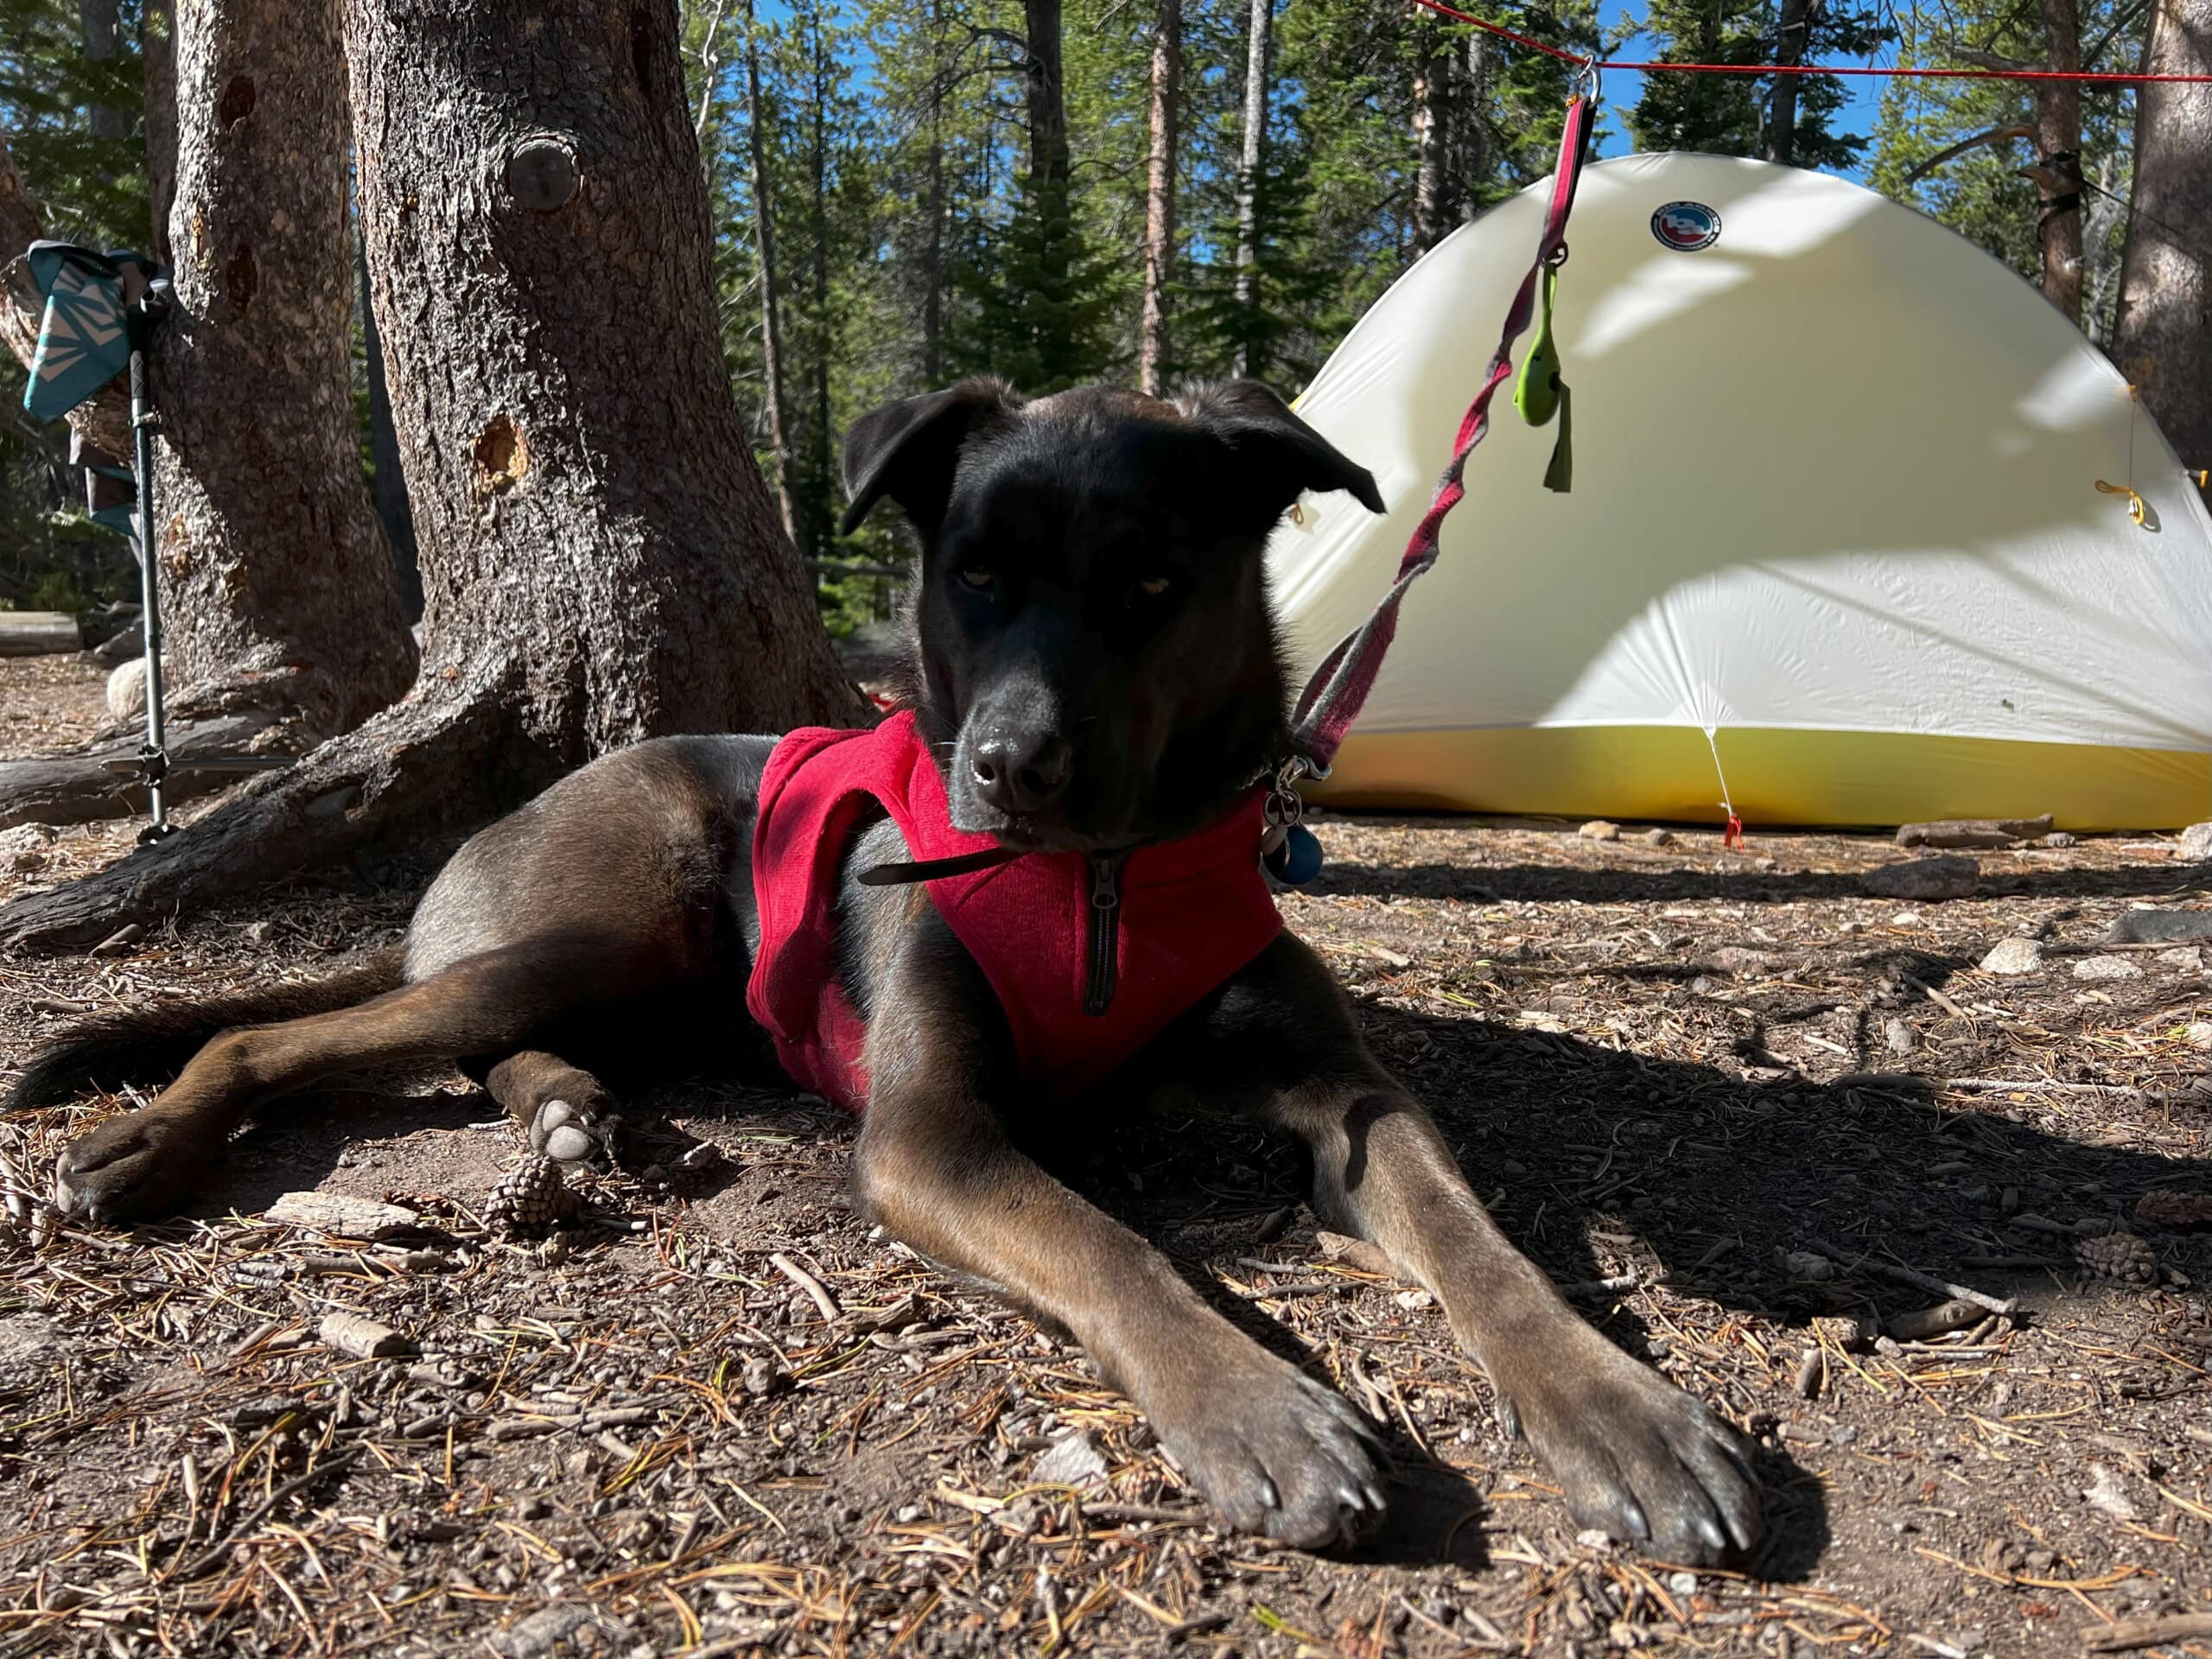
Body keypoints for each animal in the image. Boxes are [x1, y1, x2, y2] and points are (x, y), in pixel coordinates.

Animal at [4, 382, 1760, 1566]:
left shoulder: (1348, 1099)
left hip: (624, 978)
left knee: (490, 1045)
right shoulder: (932, 1137)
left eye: (1152, 582)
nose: (1009, 772)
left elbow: (1483, 1249)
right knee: (309, 1037)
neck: (1101, 881)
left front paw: (1626, 1413)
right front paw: (1255, 1407)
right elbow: (1118, 1246)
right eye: (972, 576)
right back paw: (148, 1137)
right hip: (614, 918)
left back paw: (569, 1111)